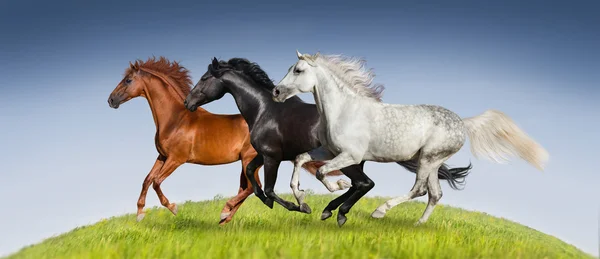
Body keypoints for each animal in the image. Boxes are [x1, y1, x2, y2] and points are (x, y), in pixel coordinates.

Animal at [108, 58, 332, 224]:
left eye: (128, 81)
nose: (111, 100)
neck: (175, 119)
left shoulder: (176, 159)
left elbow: (156, 181)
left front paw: (173, 208)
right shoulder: (162, 156)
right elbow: (147, 179)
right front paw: (140, 214)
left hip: (250, 159)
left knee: (251, 187)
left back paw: (226, 213)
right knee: (248, 188)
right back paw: (225, 217)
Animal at [185, 57, 472, 225]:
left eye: (204, 78)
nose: (187, 102)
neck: (265, 109)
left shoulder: (272, 156)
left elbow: (269, 188)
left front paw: (300, 206)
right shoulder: (263, 155)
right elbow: (253, 178)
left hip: (352, 160)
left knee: (365, 183)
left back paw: (341, 210)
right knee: (363, 184)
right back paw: (336, 209)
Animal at [272, 50, 548, 225]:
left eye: (298, 70)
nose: (276, 91)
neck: (344, 110)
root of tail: (463, 122)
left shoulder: (350, 155)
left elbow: (322, 173)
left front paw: (335, 192)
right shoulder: (328, 151)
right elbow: (300, 159)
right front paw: (302, 201)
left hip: (428, 159)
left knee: (420, 190)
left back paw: (379, 212)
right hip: (433, 163)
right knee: (435, 194)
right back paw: (418, 224)